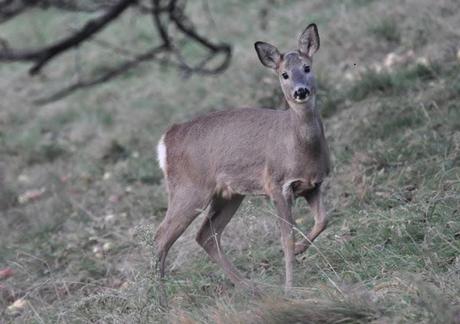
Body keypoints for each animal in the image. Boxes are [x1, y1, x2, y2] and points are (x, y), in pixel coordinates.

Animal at [155, 23, 330, 292]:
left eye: (307, 67)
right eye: (284, 74)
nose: (301, 91)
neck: (298, 147)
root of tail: (167, 139)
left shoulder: (313, 185)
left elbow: (323, 220)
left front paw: (301, 250)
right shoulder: (276, 185)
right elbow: (286, 238)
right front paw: (290, 287)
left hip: (228, 194)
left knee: (206, 235)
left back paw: (250, 286)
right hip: (189, 189)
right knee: (161, 236)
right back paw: (160, 296)